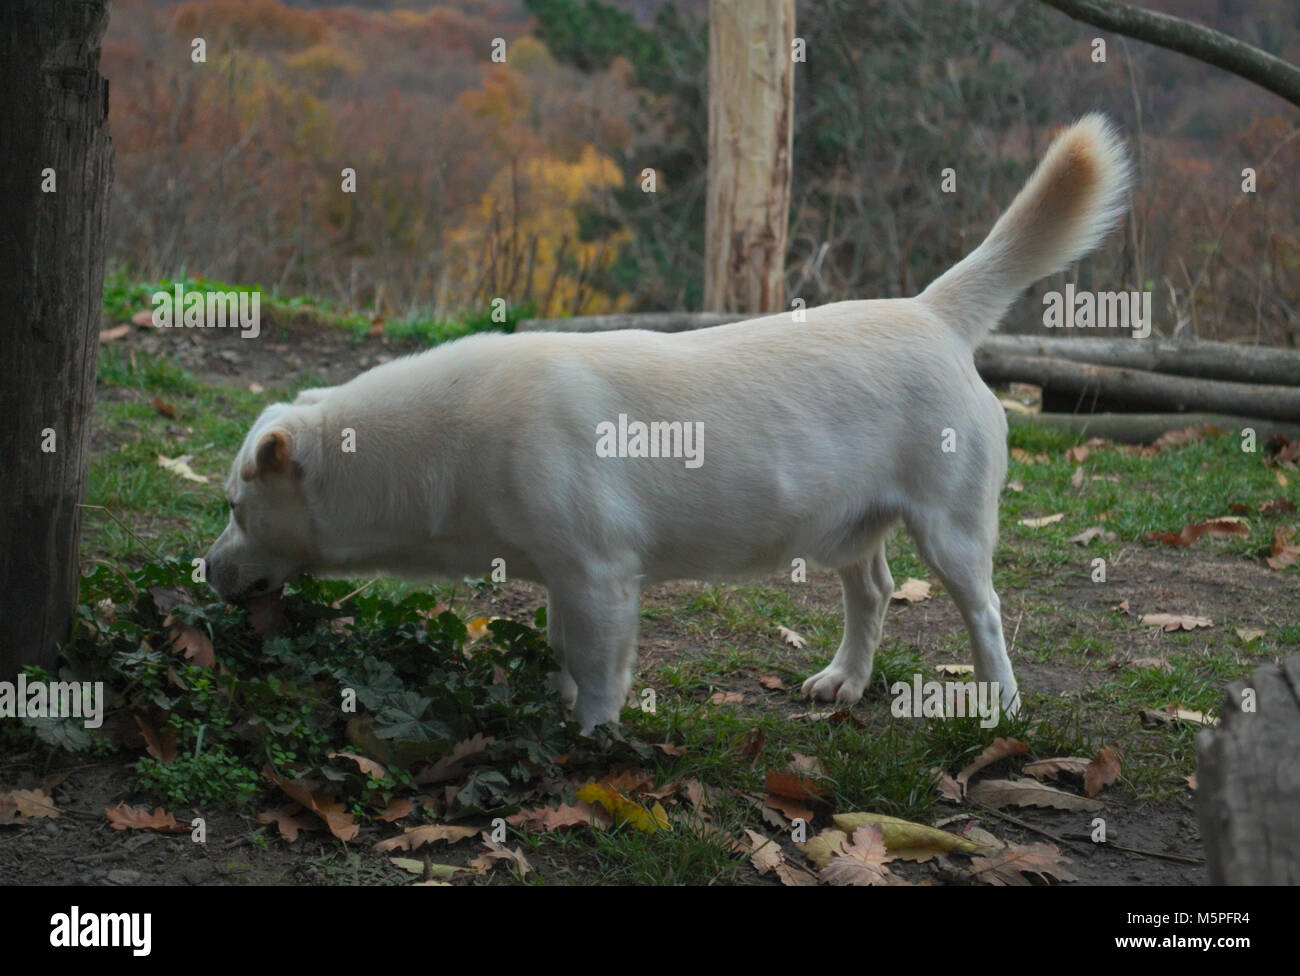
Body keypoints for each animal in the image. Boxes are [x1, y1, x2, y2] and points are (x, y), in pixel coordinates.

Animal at [202, 114, 1128, 732]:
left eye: (236, 509)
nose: (204, 571)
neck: (442, 444)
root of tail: (931, 312)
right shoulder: (561, 578)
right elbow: (559, 652)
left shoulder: (600, 577)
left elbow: (597, 672)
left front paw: (590, 741)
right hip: (850, 528)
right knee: (871, 593)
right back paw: (844, 681)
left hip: (954, 532)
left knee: (986, 614)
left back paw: (1001, 704)